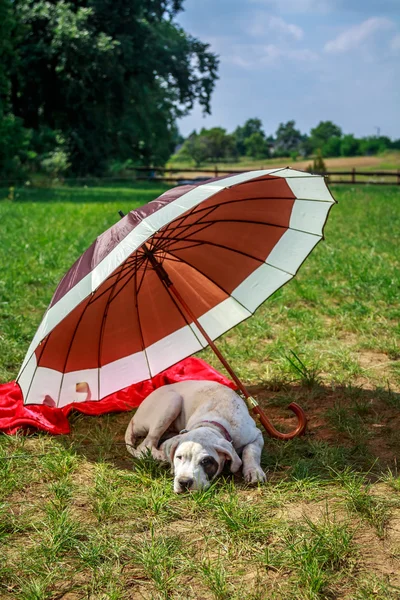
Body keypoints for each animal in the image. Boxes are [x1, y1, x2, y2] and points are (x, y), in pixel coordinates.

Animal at [123, 380, 264, 492]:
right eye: (179, 457)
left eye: (205, 461)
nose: (184, 482)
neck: (213, 423)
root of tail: (134, 417)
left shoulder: (256, 435)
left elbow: (251, 450)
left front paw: (253, 471)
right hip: (172, 400)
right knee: (145, 445)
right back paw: (160, 456)